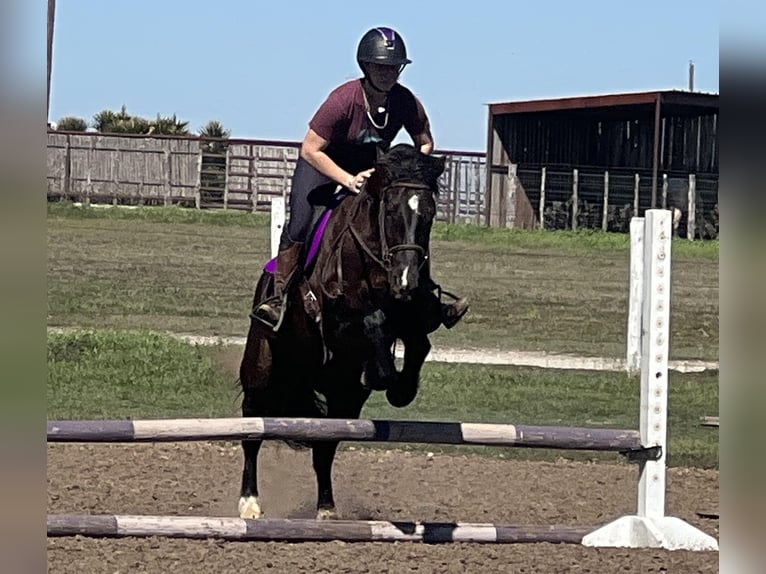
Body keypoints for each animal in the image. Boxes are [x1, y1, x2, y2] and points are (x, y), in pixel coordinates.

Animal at [237, 145, 448, 520]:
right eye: (390, 210)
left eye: (430, 213)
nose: (406, 280)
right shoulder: (335, 318)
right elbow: (373, 321)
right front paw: (382, 374)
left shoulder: (413, 317)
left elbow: (418, 342)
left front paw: (401, 388)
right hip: (261, 369)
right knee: (252, 426)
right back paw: (250, 503)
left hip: (342, 398)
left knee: (325, 446)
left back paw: (326, 510)